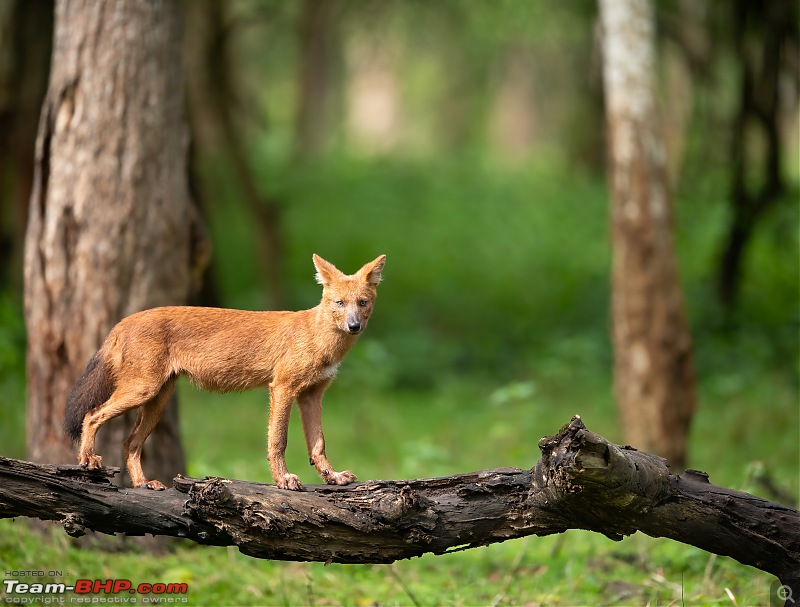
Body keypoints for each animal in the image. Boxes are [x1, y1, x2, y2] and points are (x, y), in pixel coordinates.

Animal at [65, 254, 384, 492]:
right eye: (340, 303)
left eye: (362, 303)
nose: (354, 326)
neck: (320, 339)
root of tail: (123, 321)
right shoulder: (282, 388)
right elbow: (278, 441)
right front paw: (284, 480)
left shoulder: (311, 395)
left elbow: (318, 445)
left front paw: (333, 477)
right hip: (141, 391)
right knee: (91, 415)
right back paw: (88, 460)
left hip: (157, 399)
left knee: (130, 443)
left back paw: (144, 483)